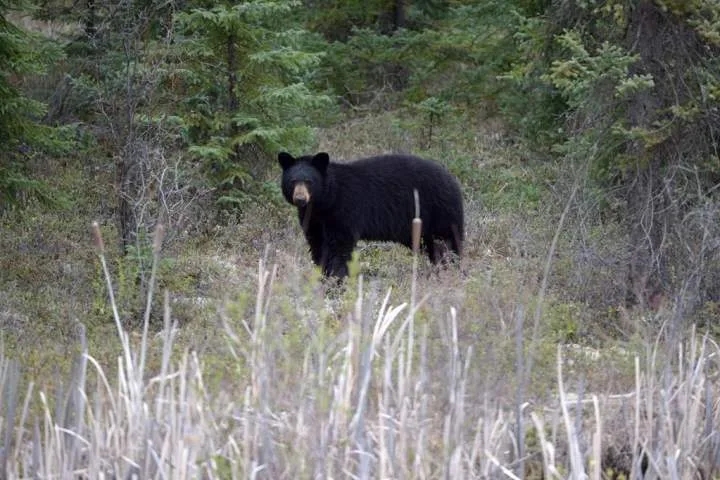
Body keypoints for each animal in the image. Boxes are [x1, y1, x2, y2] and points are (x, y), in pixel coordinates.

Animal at [279, 151, 464, 279]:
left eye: (309, 182)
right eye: (293, 181)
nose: (300, 199)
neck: (325, 201)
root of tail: (452, 180)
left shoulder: (344, 210)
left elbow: (339, 247)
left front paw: (337, 279)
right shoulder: (313, 219)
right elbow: (317, 244)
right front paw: (322, 275)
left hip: (439, 211)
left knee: (448, 242)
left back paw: (452, 268)